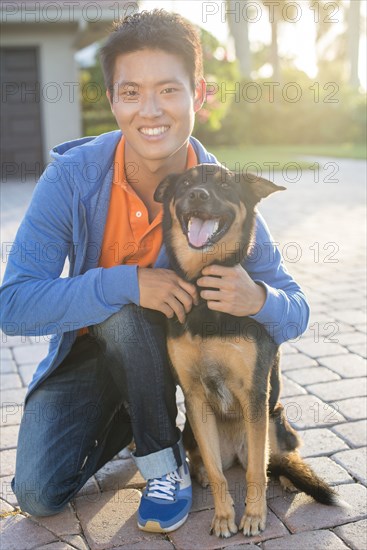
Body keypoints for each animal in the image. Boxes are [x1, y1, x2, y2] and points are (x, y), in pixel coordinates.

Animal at [154, 163, 338, 540]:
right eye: (185, 182)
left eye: (225, 184)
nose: (197, 194)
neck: (204, 287)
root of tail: (236, 451)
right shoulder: (195, 398)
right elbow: (217, 473)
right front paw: (224, 517)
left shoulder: (254, 393)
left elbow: (256, 472)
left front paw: (253, 517)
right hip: (191, 429)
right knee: (211, 462)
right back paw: (199, 474)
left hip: (274, 419)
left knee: (274, 461)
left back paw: (288, 478)